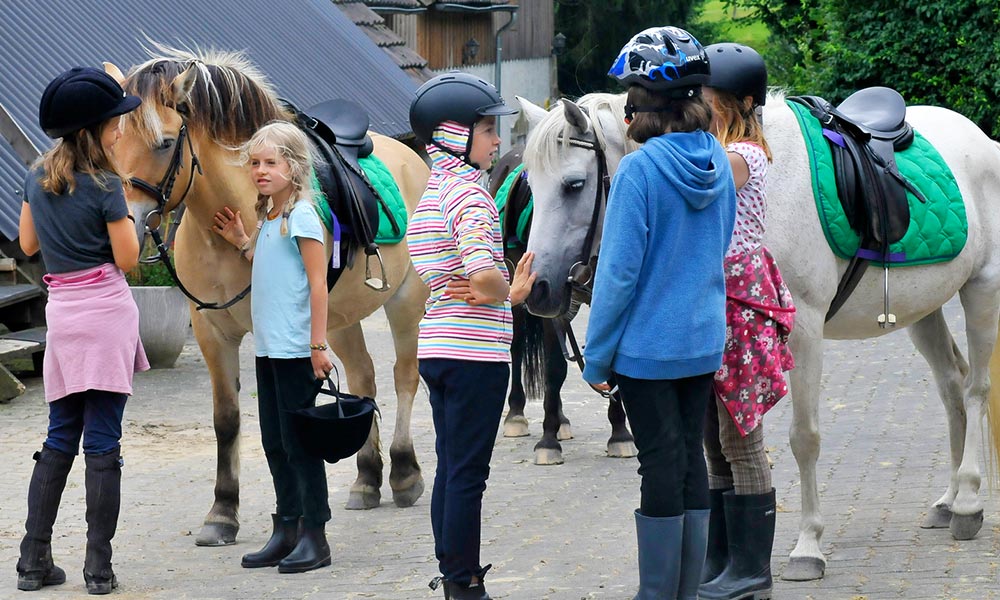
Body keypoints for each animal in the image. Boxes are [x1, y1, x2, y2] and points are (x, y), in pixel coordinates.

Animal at [109, 49, 430, 548]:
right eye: (112, 143)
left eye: (163, 143)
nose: (125, 224)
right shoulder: (212, 332)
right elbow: (227, 420)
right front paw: (222, 512)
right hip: (339, 319)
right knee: (363, 378)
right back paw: (366, 478)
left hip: (405, 302)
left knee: (404, 377)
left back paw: (403, 472)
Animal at [520, 90, 1000, 580]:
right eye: (531, 185)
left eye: (574, 184)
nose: (536, 288)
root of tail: (984, 142)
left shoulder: (805, 332)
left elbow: (804, 438)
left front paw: (808, 545)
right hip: (922, 308)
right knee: (952, 385)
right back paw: (948, 500)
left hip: (981, 291)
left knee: (976, 389)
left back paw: (967, 502)